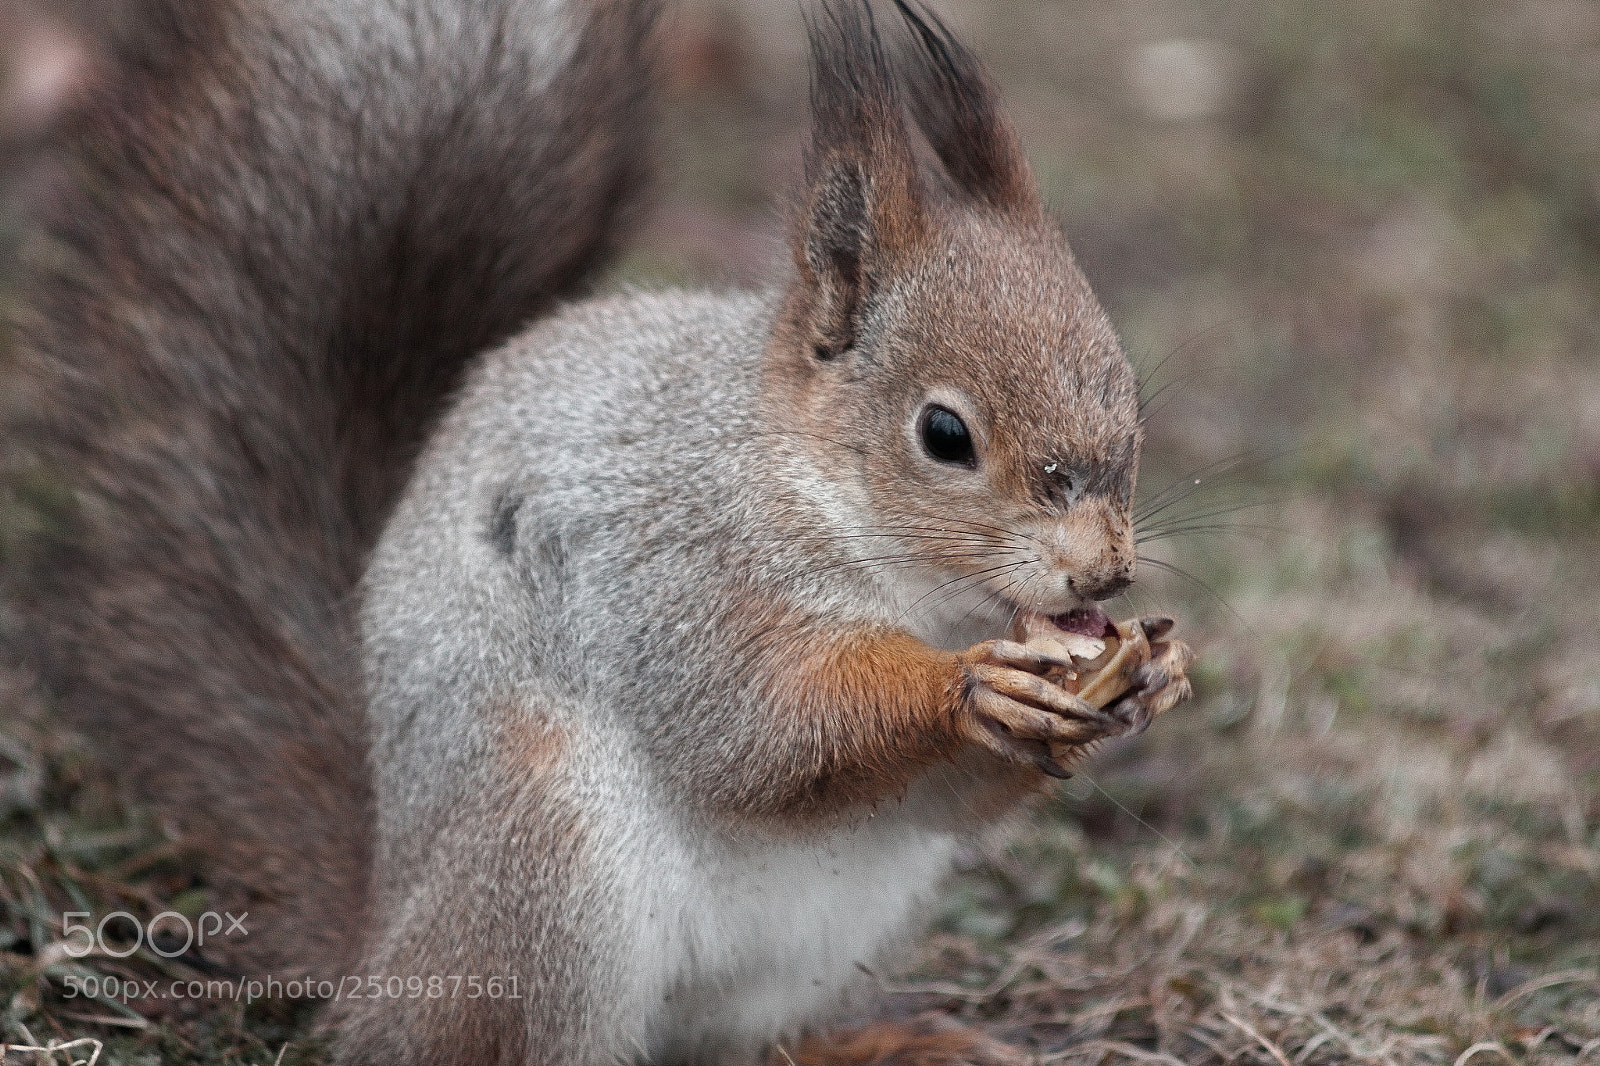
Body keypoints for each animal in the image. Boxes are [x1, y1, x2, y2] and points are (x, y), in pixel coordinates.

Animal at [3, 0, 1194, 1063]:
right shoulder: (667, 567)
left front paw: (1148, 683)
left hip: (818, 933)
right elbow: (757, 722)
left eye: (1130, 394)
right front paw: (972, 687)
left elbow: (938, 797)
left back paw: (873, 1045)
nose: (1105, 570)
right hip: (544, 870)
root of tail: (385, 947)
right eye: (944, 434)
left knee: (722, 1047)